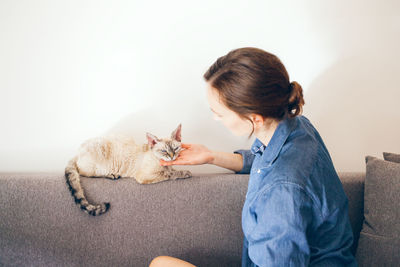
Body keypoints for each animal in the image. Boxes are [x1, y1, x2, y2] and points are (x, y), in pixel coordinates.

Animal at [64, 124, 192, 217]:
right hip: (99, 154)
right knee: (85, 173)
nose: (172, 156)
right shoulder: (145, 176)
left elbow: (172, 170)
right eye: (164, 151)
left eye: (175, 149)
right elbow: (170, 174)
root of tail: (77, 153)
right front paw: (186, 173)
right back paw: (112, 175)